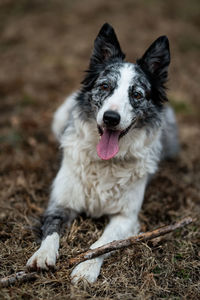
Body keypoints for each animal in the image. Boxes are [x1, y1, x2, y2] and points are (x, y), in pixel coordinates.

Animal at [26, 23, 178, 284]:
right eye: (105, 86)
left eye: (137, 94)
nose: (111, 118)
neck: (107, 162)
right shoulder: (60, 203)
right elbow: (51, 231)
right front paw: (42, 255)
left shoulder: (126, 216)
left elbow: (104, 243)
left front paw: (86, 268)